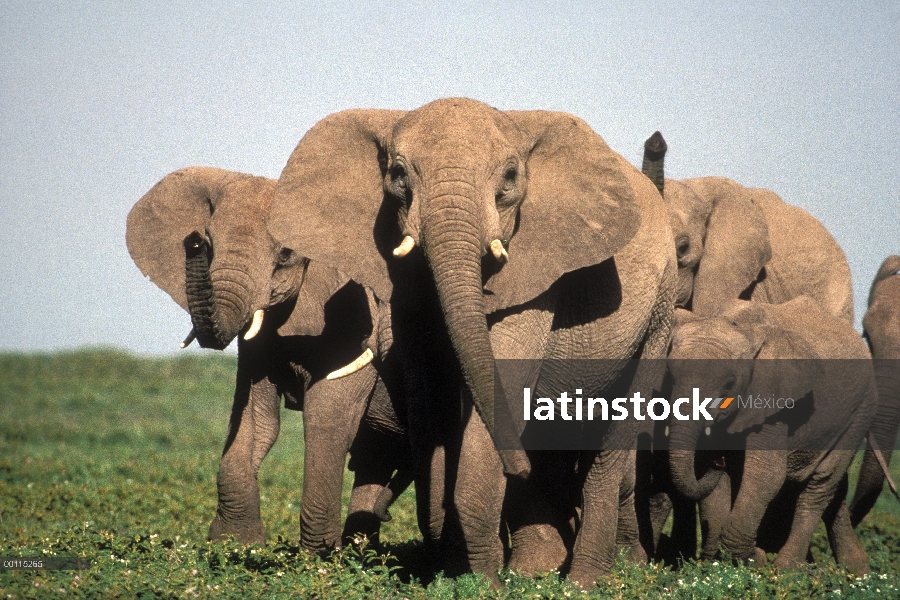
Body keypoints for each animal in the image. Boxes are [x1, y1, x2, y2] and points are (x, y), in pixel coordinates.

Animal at [268, 98, 676, 584]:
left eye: (510, 178)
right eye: (398, 175)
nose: (517, 466)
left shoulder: (536, 273)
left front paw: (482, 581)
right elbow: (431, 400)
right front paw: (456, 571)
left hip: (659, 313)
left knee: (614, 437)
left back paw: (582, 581)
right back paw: (536, 570)